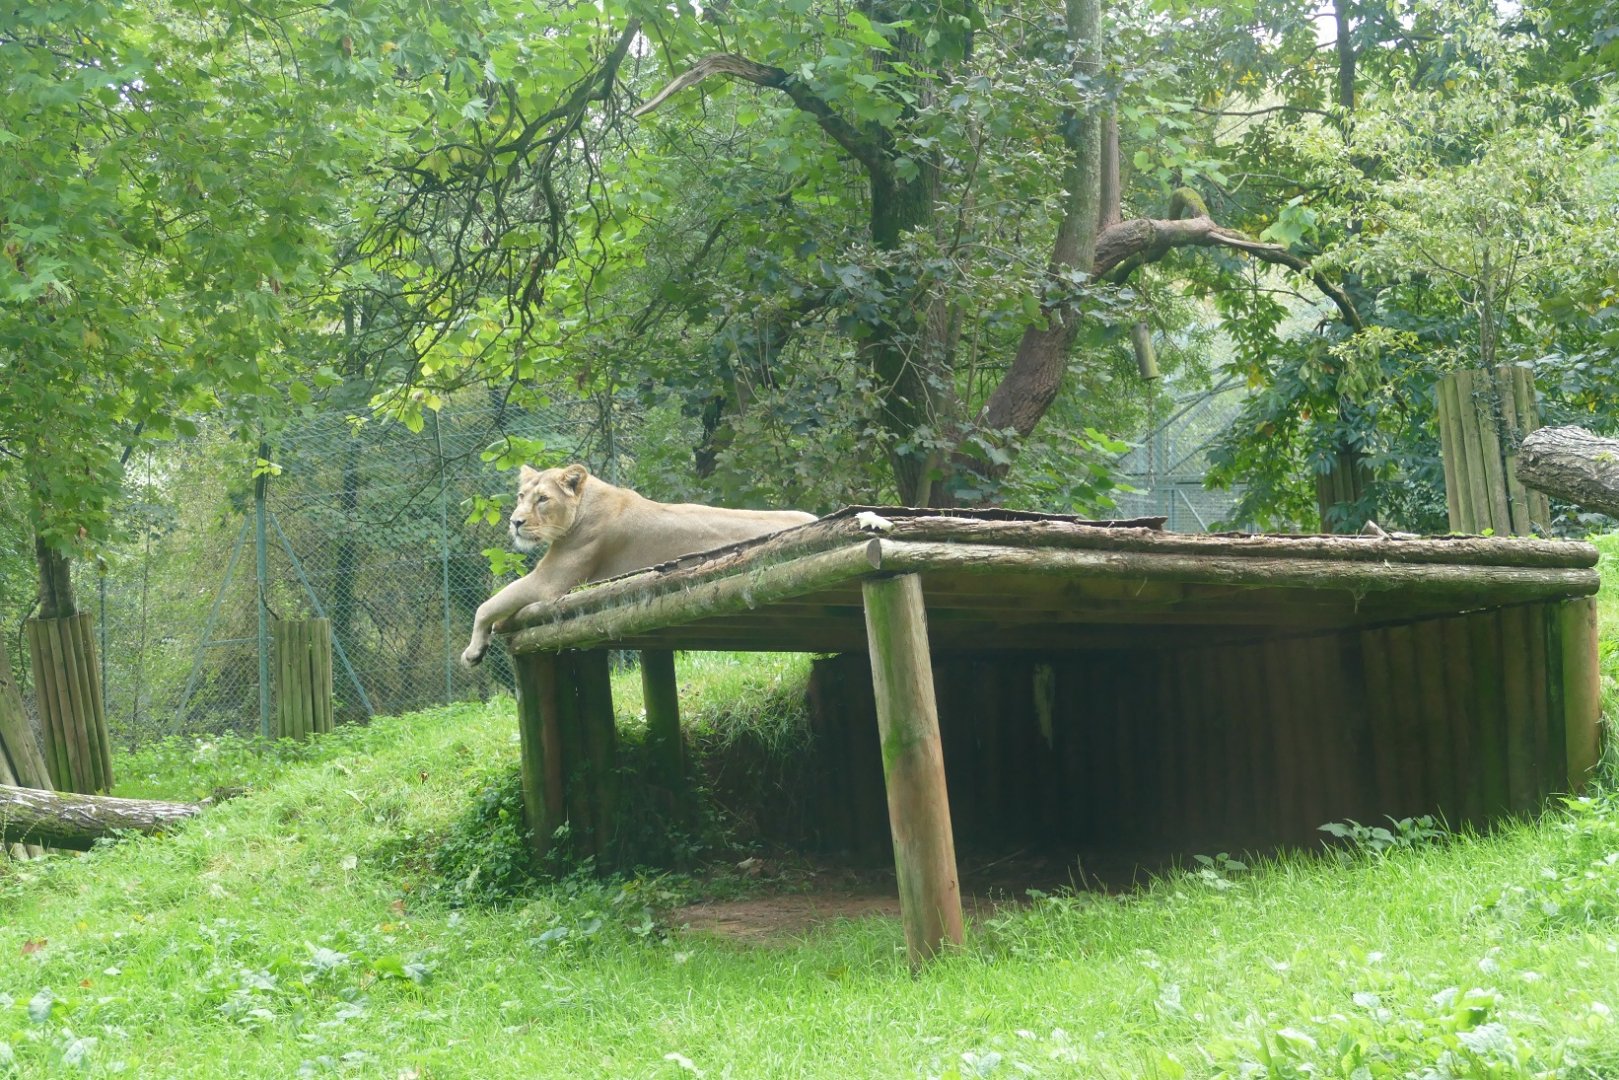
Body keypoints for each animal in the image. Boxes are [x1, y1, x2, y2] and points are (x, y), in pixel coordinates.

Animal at [461, 463, 817, 666]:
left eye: (543, 499)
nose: (515, 522)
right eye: (521, 496)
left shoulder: (550, 583)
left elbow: (487, 605)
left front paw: (473, 652)